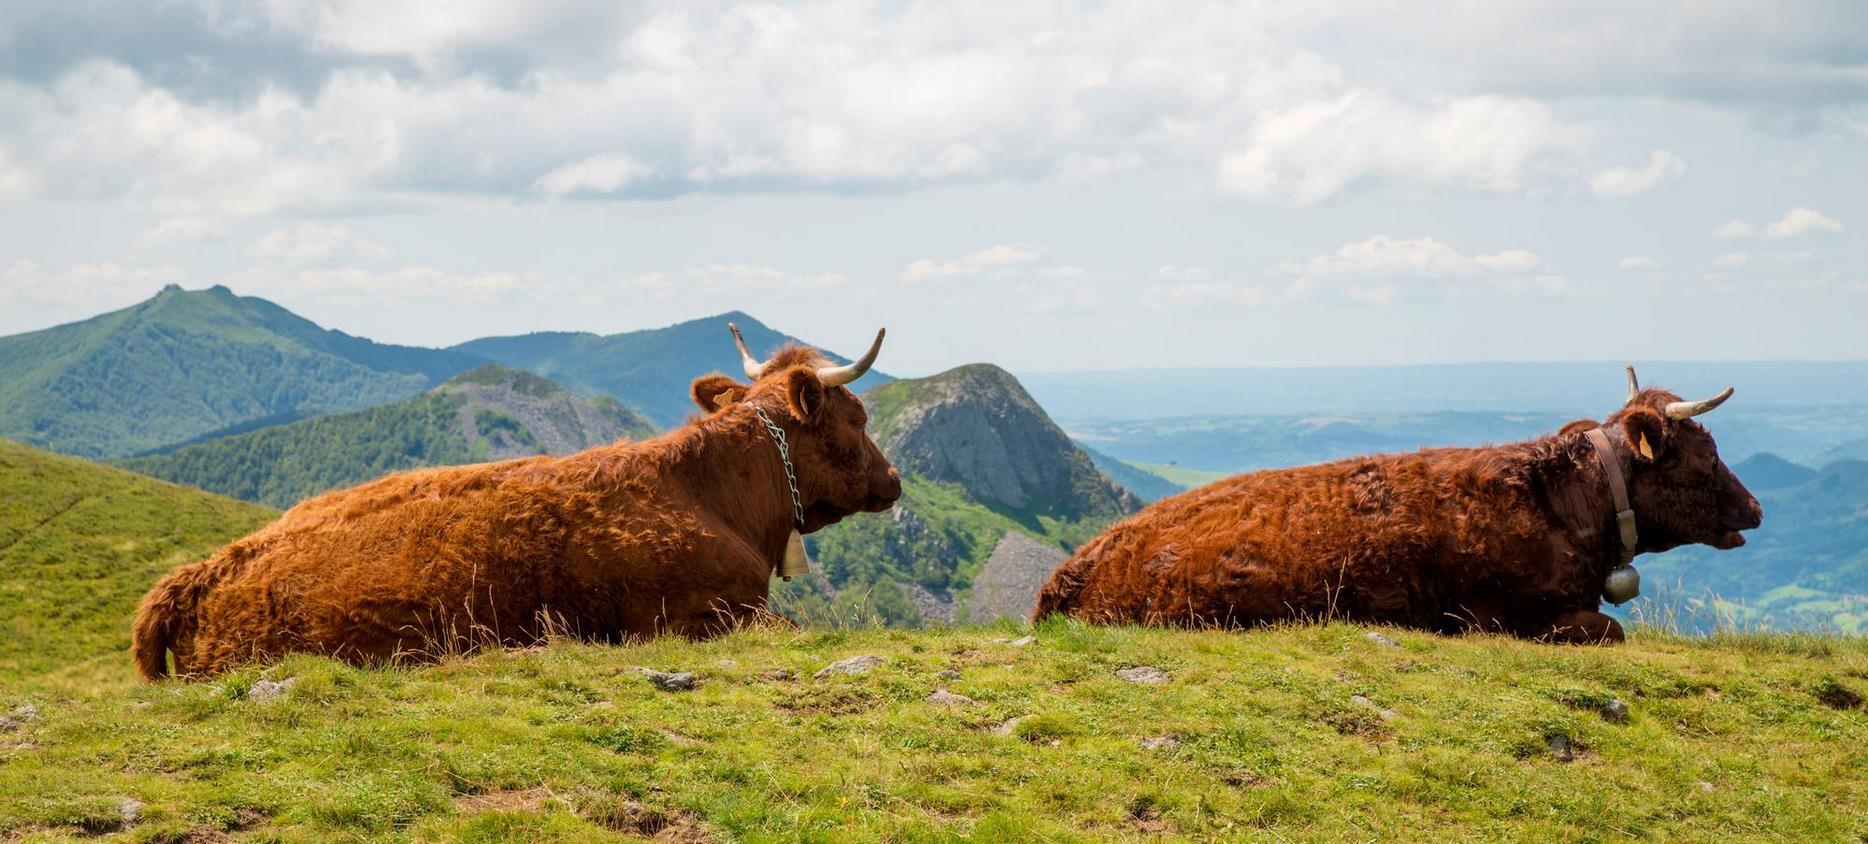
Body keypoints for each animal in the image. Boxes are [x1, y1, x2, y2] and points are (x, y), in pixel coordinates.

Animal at [1038, 365, 1763, 642]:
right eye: (1704, 455)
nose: (1756, 508)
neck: (1560, 506)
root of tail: (1071, 571)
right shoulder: (1501, 615)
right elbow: (1612, 630)